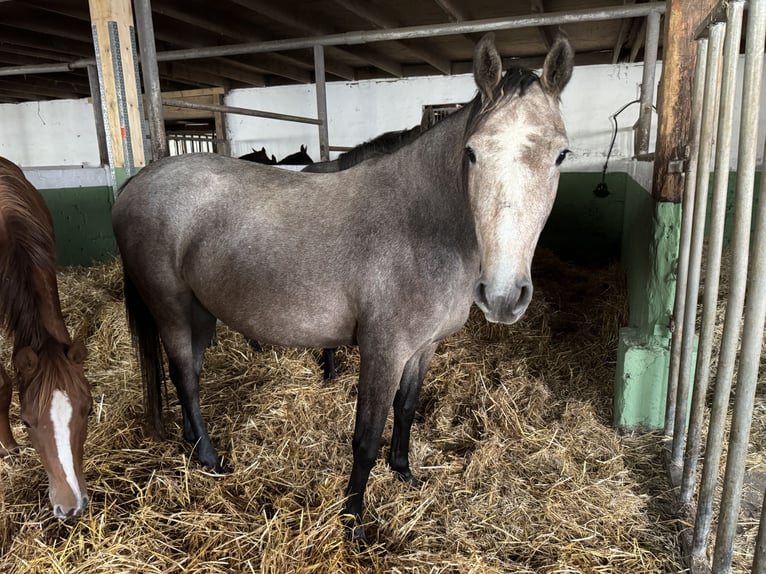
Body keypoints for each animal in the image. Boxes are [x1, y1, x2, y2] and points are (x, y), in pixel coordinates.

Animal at [111, 32, 572, 544]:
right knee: (185, 378)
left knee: (190, 370)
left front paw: (403, 471)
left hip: (200, 311)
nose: (504, 295)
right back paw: (210, 460)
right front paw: (353, 521)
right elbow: (366, 437)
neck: (421, 223)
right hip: (170, 308)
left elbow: (406, 409)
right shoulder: (383, 350)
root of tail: (139, 180)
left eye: (561, 155)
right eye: (472, 153)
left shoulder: (423, 348)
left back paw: (195, 445)